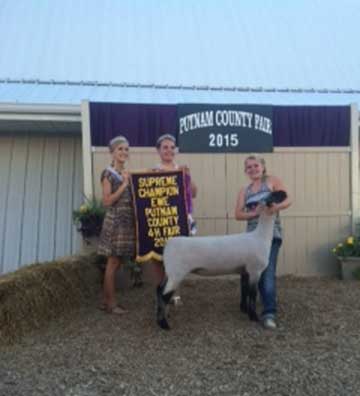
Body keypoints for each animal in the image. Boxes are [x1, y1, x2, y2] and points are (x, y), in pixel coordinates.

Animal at [155, 190, 286, 330]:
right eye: (274, 195)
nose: (285, 193)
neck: (260, 237)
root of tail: (168, 244)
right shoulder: (254, 270)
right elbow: (252, 294)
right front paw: (253, 317)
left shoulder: (244, 270)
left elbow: (244, 290)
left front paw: (244, 310)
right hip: (177, 273)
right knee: (164, 295)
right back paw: (164, 325)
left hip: (170, 272)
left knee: (159, 289)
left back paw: (161, 319)